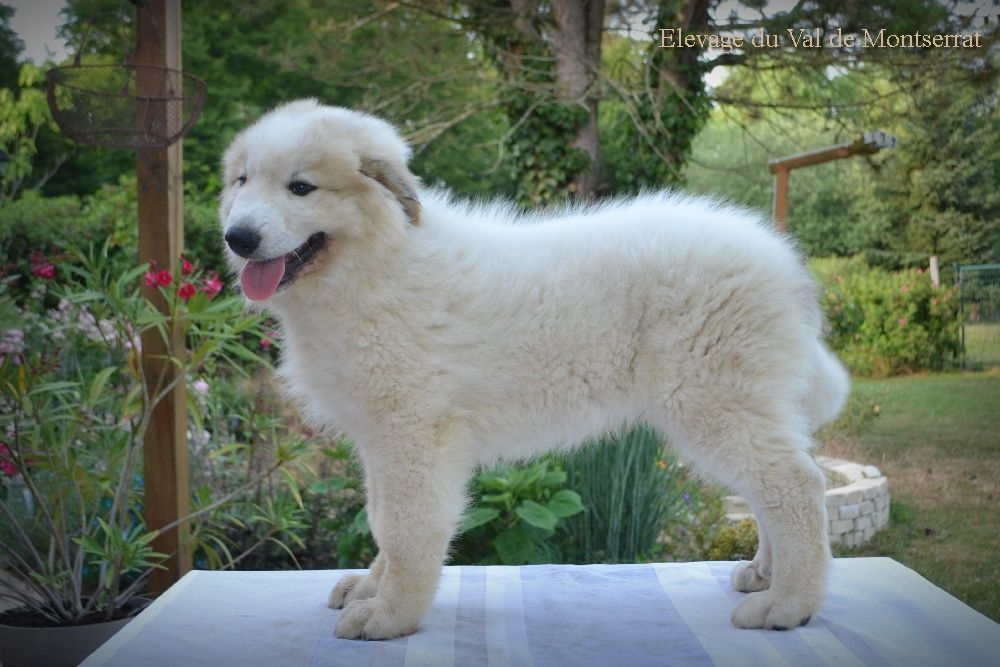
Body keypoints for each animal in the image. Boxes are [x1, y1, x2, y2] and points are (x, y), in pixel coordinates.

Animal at [219, 100, 844, 640]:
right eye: (242, 182)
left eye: (301, 187)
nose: (237, 237)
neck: (374, 264)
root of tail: (785, 264)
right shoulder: (379, 437)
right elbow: (381, 521)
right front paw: (374, 588)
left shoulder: (413, 433)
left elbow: (405, 527)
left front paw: (391, 614)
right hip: (735, 402)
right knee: (771, 488)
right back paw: (765, 575)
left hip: (711, 400)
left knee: (795, 486)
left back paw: (789, 603)